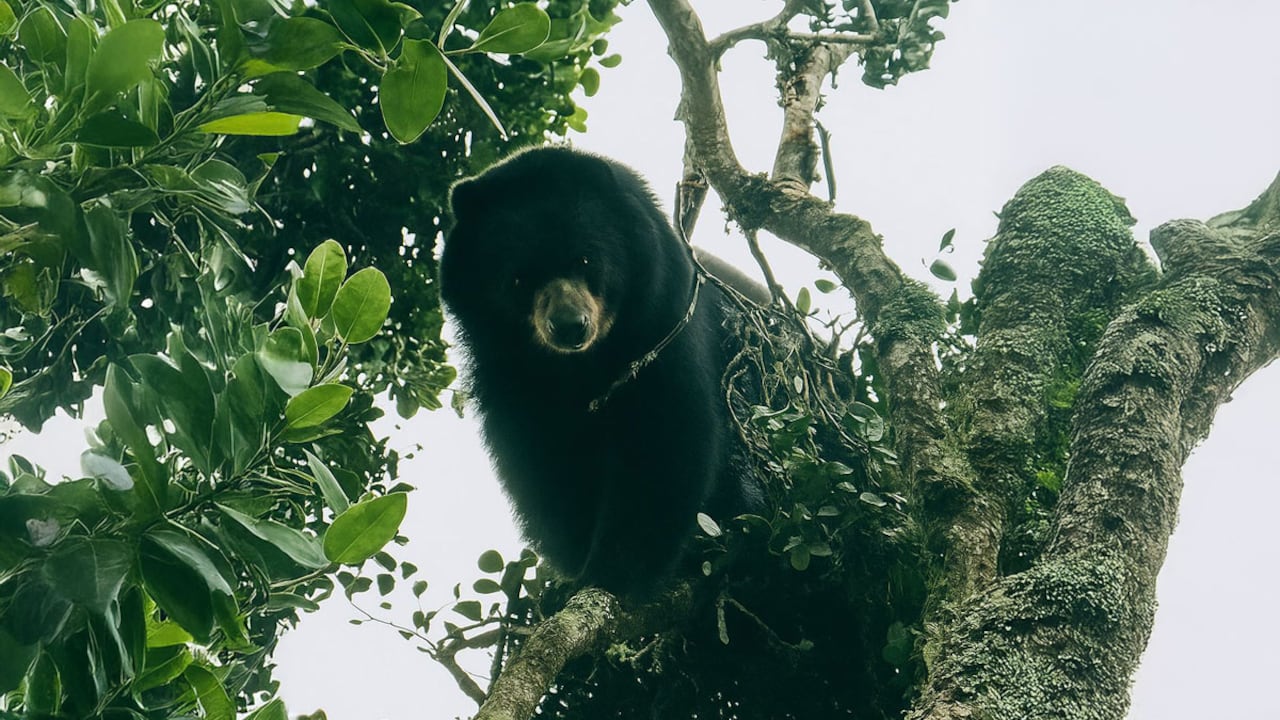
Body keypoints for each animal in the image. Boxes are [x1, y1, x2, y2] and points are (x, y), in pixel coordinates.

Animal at [440, 146, 765, 598]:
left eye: (586, 258)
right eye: (519, 278)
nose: (569, 325)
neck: (580, 365)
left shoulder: (664, 326)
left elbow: (665, 438)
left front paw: (611, 570)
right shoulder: (506, 374)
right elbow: (544, 463)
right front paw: (574, 570)